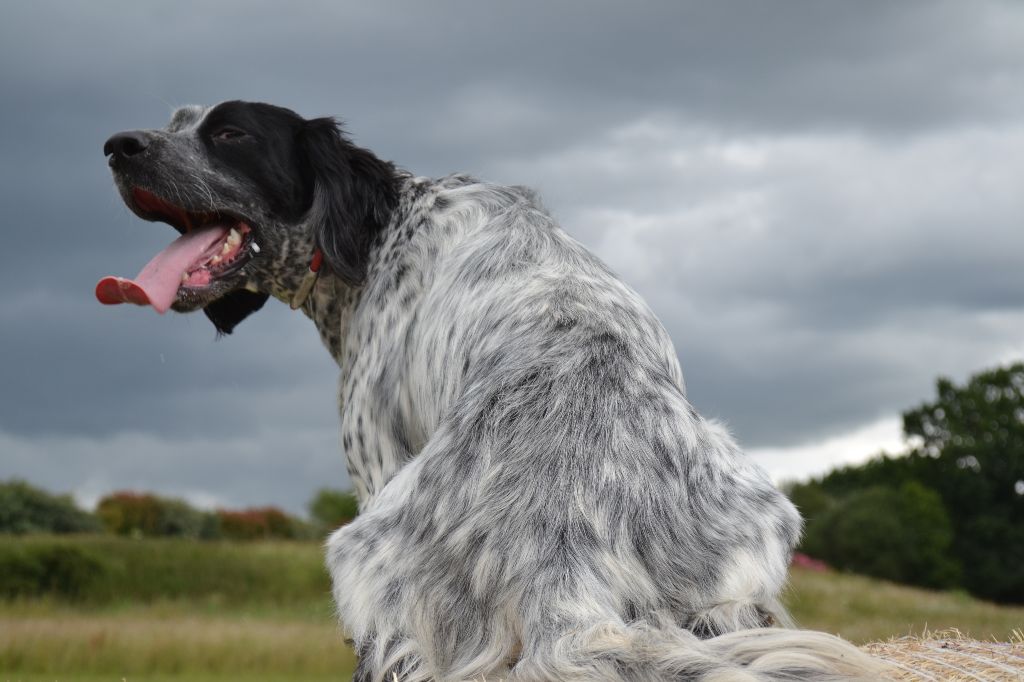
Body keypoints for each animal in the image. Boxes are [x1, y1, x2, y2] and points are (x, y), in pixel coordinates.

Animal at [97, 100, 880, 679]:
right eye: (175, 120)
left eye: (230, 134)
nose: (119, 145)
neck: (379, 231)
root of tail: (559, 571)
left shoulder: (372, 453)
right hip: (753, 525)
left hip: (360, 556)